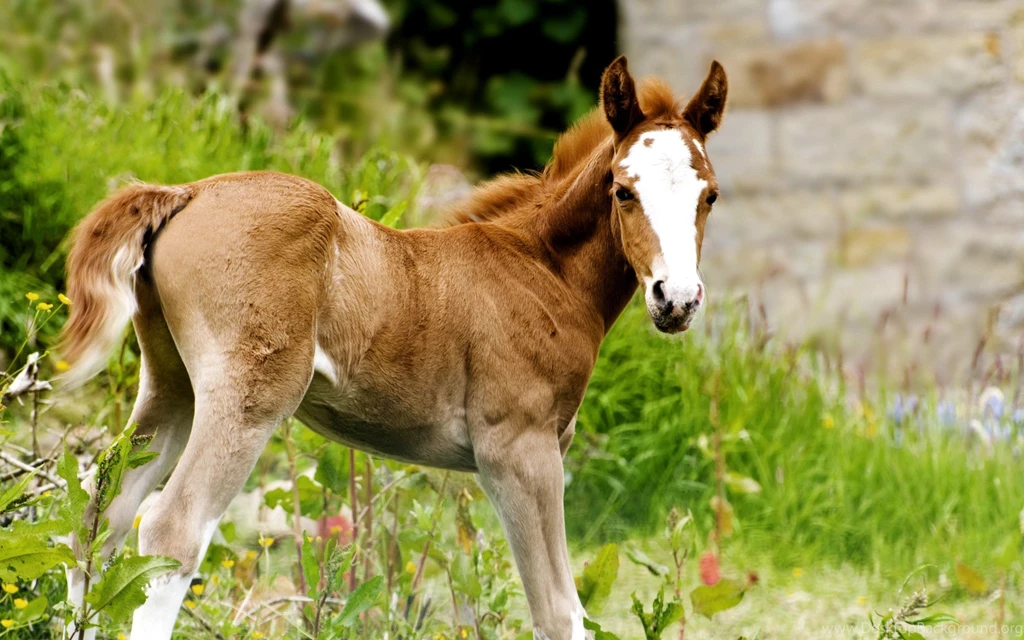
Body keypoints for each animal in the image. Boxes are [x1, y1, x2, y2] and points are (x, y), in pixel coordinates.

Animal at [58, 55, 728, 640]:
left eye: (710, 195)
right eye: (623, 190)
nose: (676, 298)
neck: (542, 270)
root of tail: (187, 193)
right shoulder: (519, 451)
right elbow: (560, 614)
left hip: (172, 385)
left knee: (99, 516)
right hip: (248, 397)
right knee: (171, 529)